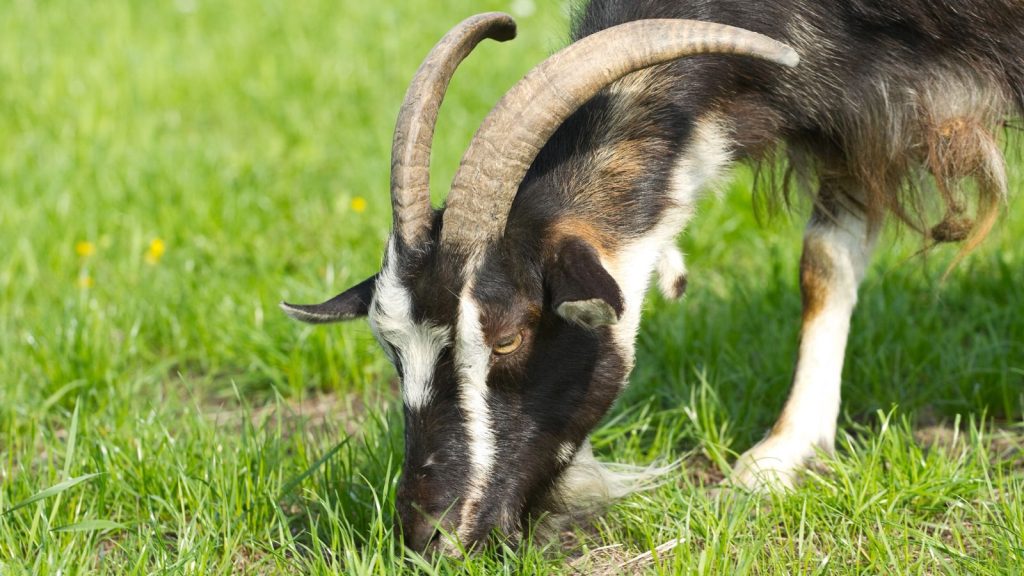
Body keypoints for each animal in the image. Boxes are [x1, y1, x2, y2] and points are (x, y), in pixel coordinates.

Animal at [281, 1, 1023, 553]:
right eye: (391, 348)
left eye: (509, 335)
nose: (427, 535)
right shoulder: (856, 109)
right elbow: (824, 264)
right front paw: (783, 456)